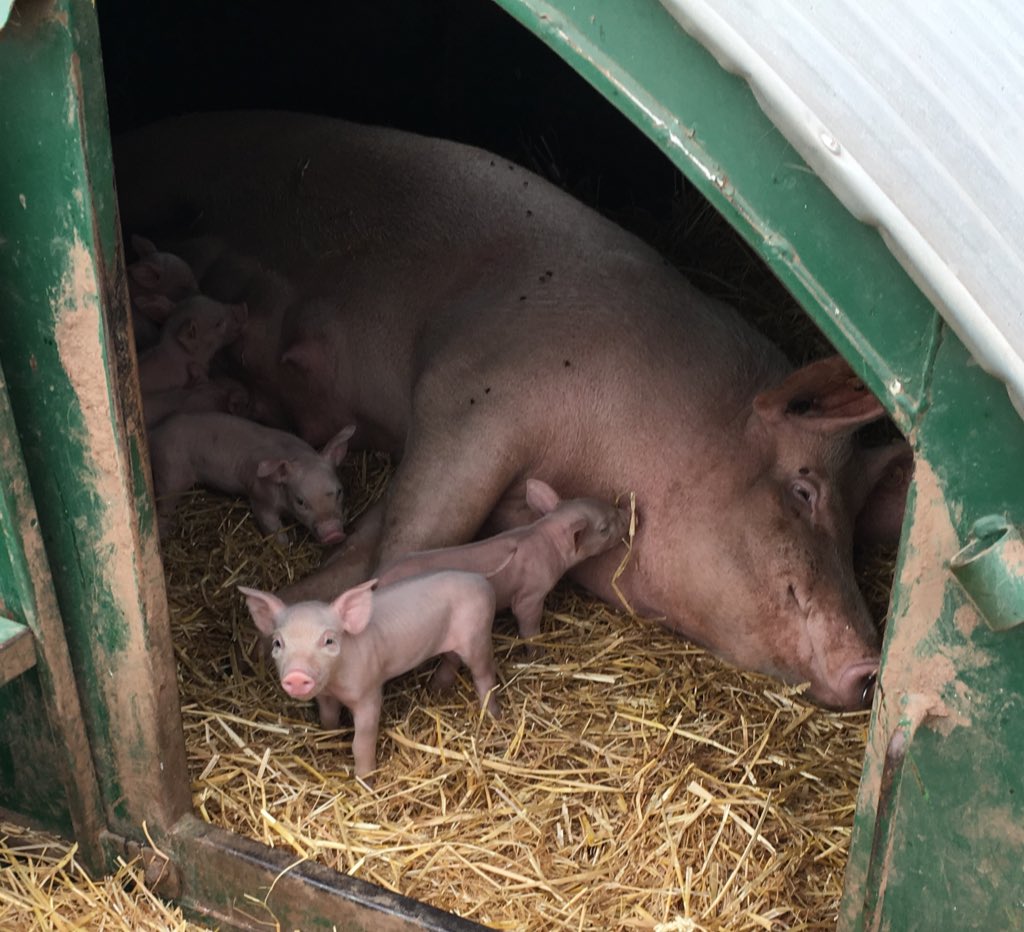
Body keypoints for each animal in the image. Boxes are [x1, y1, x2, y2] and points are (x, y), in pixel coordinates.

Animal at [148, 413, 355, 544]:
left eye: (339, 491)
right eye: (300, 501)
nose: (334, 534)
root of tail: (155, 433)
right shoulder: (258, 496)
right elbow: (271, 525)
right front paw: (285, 545)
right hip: (170, 473)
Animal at [239, 571, 502, 779]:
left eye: (329, 640)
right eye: (277, 643)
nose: (295, 675)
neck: (335, 683)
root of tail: (484, 581)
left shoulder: (369, 692)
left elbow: (361, 743)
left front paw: (366, 782)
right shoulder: (325, 694)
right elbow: (328, 718)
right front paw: (331, 736)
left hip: (478, 635)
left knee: (485, 676)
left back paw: (492, 716)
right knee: (451, 659)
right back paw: (435, 689)